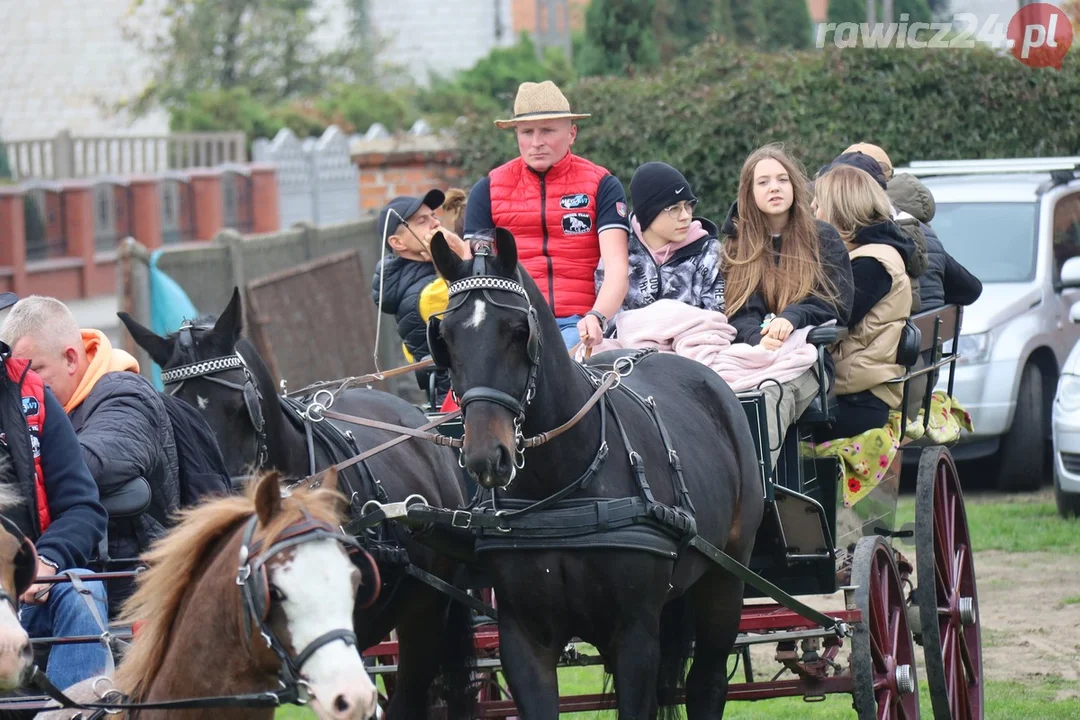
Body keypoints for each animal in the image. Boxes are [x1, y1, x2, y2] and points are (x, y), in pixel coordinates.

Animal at [425, 232, 764, 720]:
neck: (560, 494)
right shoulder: (524, 639)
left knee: (708, 683)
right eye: (446, 339)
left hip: (725, 577)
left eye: (518, 331)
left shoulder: (634, 634)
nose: (486, 455)